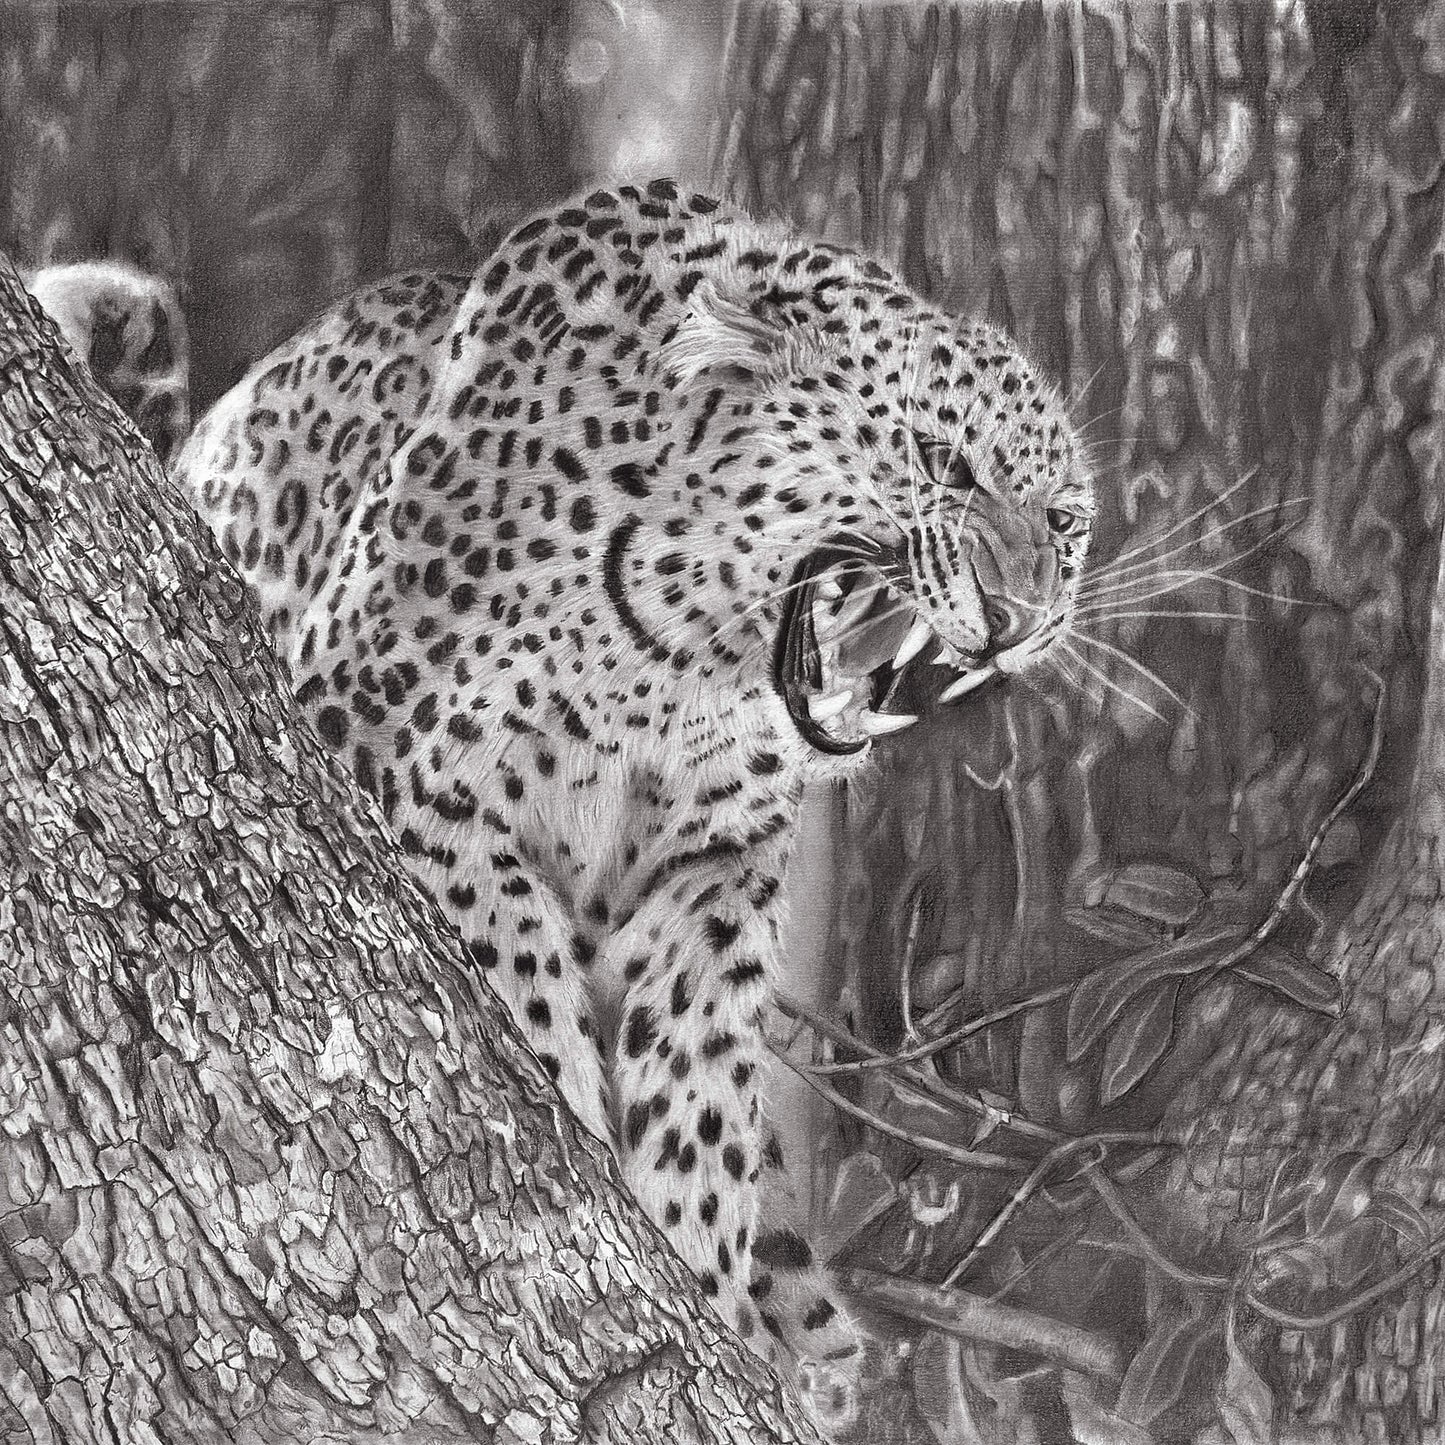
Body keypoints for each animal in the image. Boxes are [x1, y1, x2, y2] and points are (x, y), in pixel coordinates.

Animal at [38, 178, 1095, 1432]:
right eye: (940, 460)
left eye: (1065, 522)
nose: (1020, 616)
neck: (687, 646)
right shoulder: (382, 742)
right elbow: (505, 947)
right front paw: (569, 1102)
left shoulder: (713, 869)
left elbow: (696, 1083)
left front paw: (699, 1269)